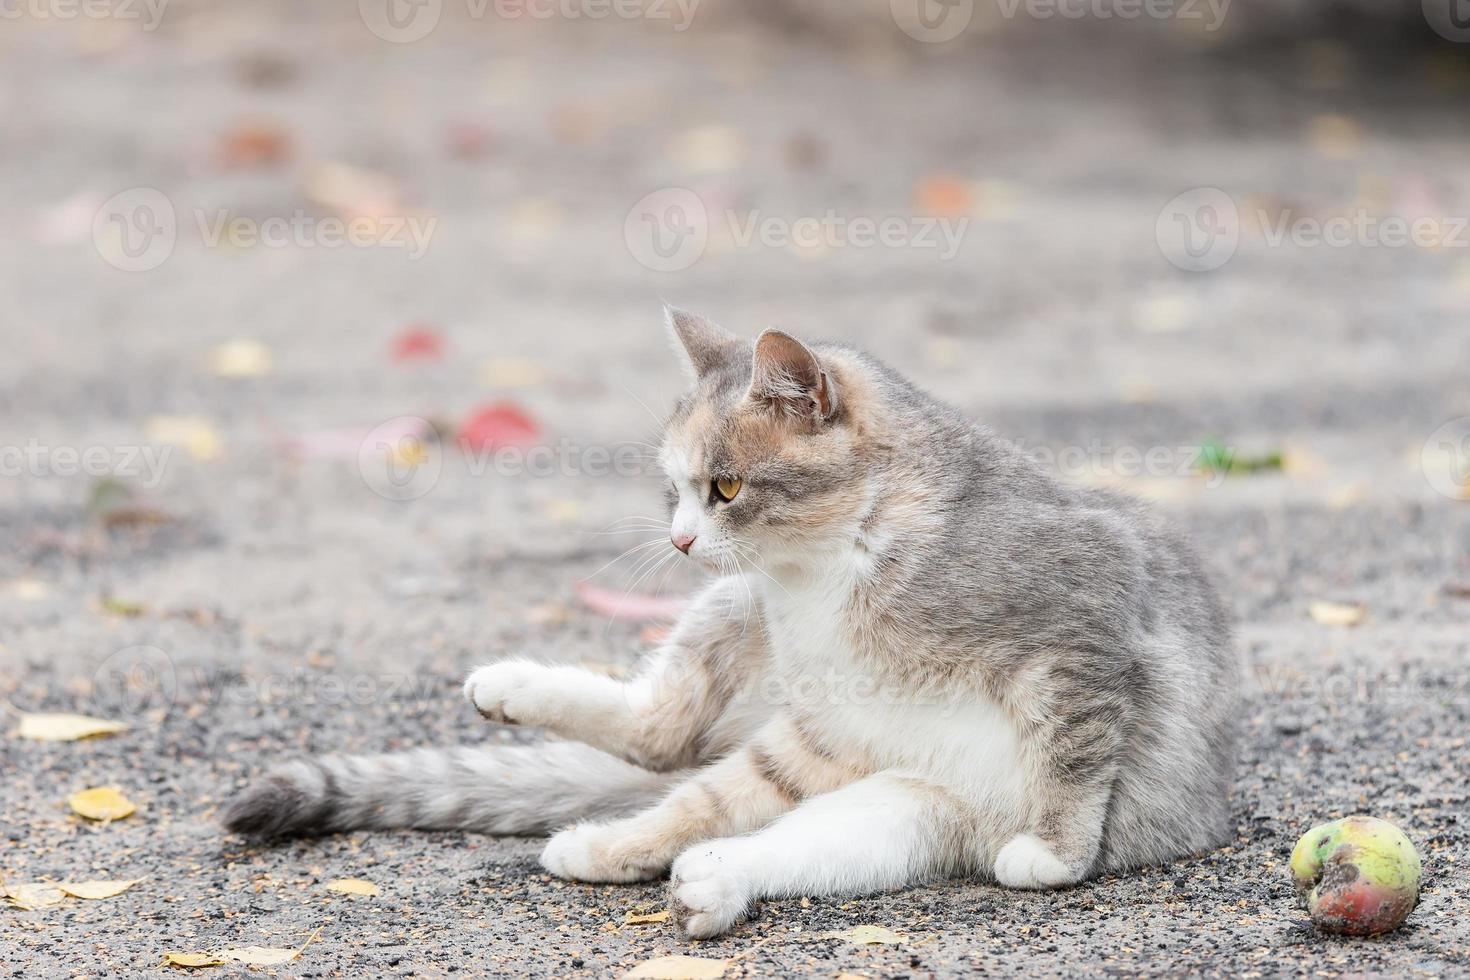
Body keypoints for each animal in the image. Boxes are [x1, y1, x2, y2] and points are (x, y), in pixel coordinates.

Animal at [226, 310, 1240, 940]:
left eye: (724, 487)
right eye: (674, 490)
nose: (679, 539)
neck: (830, 572)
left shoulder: (1084, 625)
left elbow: (1074, 749)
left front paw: (1057, 854)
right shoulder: (827, 722)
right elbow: (698, 781)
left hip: (903, 809)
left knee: (757, 828)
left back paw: (713, 881)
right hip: (756, 645)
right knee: (670, 751)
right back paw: (579, 787)